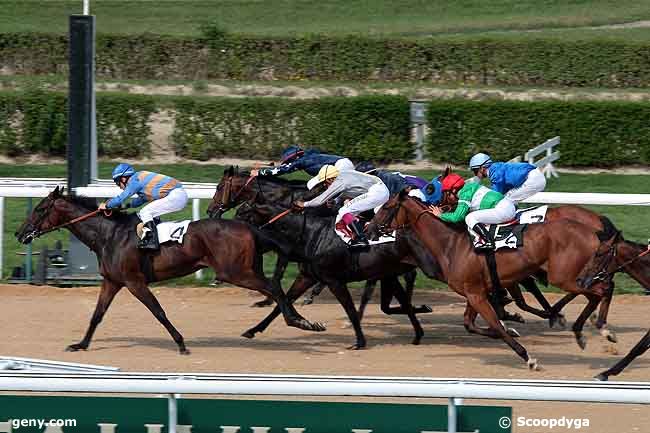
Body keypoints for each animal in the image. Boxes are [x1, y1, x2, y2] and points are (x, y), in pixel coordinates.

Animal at [12, 185, 322, 352]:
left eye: (40, 209)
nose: (19, 233)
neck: (109, 234)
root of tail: (248, 227)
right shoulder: (112, 281)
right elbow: (97, 315)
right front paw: (81, 344)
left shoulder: (134, 281)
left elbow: (158, 312)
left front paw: (181, 344)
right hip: (243, 270)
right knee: (276, 288)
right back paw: (297, 320)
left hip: (234, 272)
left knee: (273, 287)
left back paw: (298, 321)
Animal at [368, 192, 616, 368]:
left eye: (387, 207)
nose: (368, 229)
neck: (451, 243)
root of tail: (592, 228)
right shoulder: (474, 292)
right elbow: (472, 324)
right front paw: (514, 325)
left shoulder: (478, 294)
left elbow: (496, 323)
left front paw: (528, 357)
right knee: (601, 289)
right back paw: (585, 330)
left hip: (563, 276)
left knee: (602, 289)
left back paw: (599, 329)